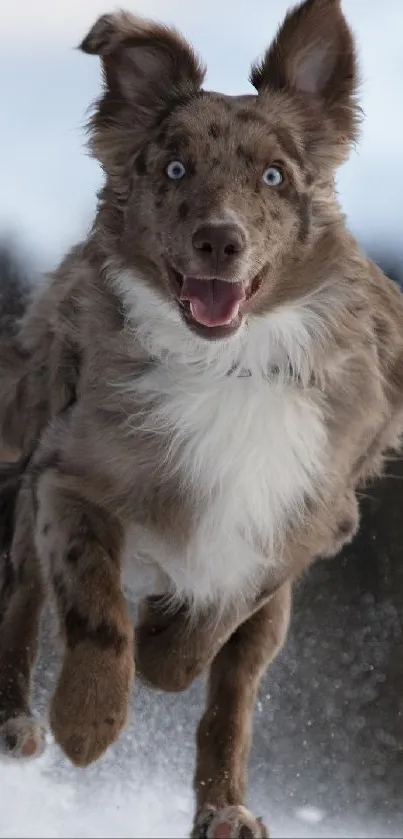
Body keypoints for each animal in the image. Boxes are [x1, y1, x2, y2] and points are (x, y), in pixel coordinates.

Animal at [0, 0, 403, 836]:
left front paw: (165, 646)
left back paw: (226, 808)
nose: (220, 239)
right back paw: (18, 722)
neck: (229, 362)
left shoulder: (303, 517)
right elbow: (94, 607)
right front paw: (87, 722)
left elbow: (216, 619)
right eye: (175, 169)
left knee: (232, 699)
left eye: (274, 175)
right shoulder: (68, 476)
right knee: (22, 599)